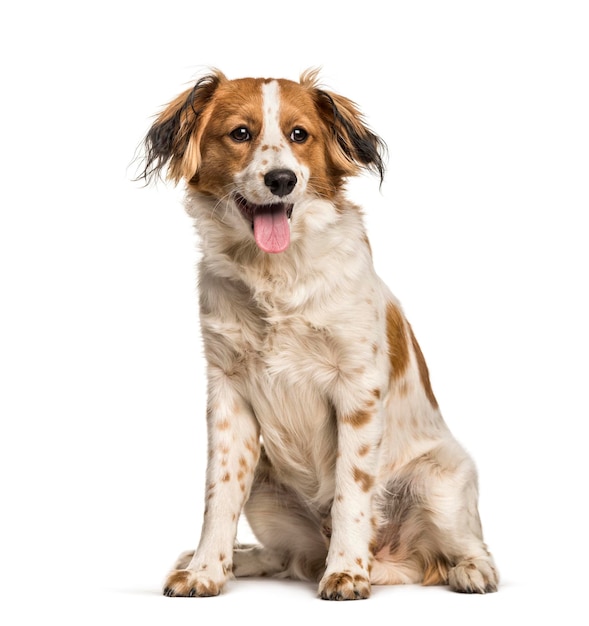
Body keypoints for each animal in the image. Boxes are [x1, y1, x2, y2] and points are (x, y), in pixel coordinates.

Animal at [138, 66, 496, 596]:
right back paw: (236, 559)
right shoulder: (228, 394)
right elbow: (218, 495)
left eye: (299, 135)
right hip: (266, 490)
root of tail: (396, 561)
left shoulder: (357, 390)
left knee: (469, 544)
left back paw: (467, 569)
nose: (281, 180)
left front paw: (346, 570)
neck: (276, 273)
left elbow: (352, 492)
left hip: (442, 479)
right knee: (287, 557)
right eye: (240, 133)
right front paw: (205, 571)